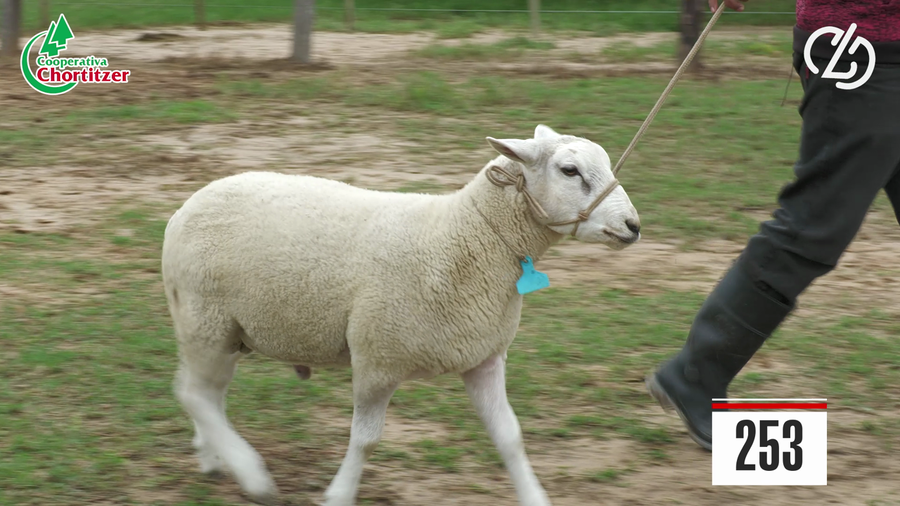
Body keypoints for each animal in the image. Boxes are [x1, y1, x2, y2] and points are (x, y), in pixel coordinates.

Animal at [161, 124, 641, 506]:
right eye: (569, 171)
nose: (633, 226)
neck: (465, 239)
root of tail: (185, 208)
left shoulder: (483, 357)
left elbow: (510, 436)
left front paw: (534, 496)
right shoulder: (378, 358)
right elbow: (365, 440)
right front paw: (339, 495)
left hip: (221, 328)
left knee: (207, 393)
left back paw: (213, 457)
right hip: (206, 318)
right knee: (194, 394)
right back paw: (252, 474)